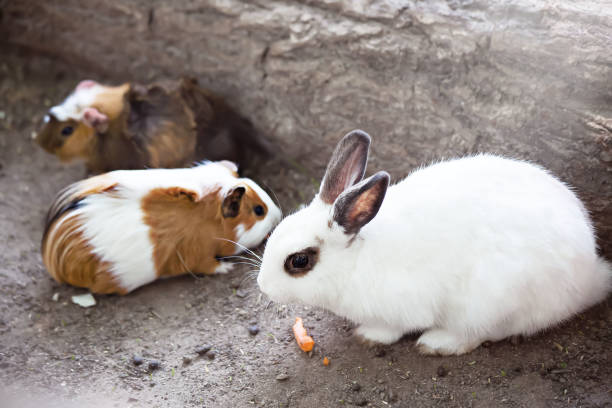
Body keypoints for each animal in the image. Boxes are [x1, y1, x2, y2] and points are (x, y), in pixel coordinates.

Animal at [258, 130, 612, 354]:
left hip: (489, 302)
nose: (262, 286)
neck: (355, 259)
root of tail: (589, 275)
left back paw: (436, 343)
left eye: (299, 261)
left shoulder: (402, 308)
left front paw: (367, 336)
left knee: (484, 333)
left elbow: (390, 329)